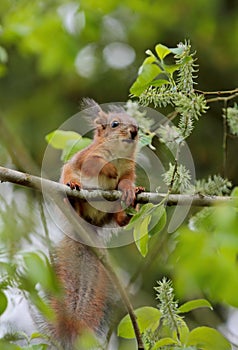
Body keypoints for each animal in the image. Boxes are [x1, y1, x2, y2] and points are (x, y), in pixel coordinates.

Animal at [48, 100, 139, 348]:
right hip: (71, 181)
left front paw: (129, 188)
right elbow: (93, 163)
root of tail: (87, 224)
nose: (134, 131)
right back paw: (73, 195)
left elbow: (126, 180)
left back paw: (128, 212)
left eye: (136, 123)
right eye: (115, 124)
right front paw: (109, 169)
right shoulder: (87, 156)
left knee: (118, 219)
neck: (118, 154)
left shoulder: (130, 169)